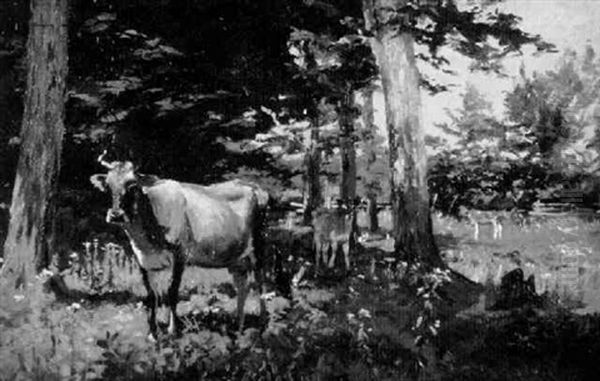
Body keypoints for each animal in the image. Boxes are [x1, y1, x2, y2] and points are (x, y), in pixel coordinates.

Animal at [88, 150, 268, 336]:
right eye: (108, 185)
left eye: (132, 185)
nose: (116, 215)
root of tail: (252, 186)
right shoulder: (143, 260)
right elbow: (152, 296)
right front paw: (152, 333)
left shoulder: (180, 254)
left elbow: (172, 292)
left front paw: (173, 330)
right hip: (236, 257)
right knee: (242, 286)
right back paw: (238, 325)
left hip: (258, 246)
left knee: (261, 282)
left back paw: (262, 323)